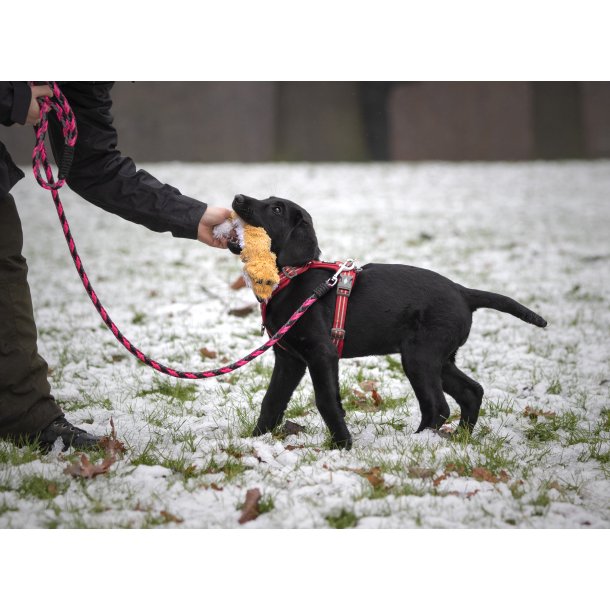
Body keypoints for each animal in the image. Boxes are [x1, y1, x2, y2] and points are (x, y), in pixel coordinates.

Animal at [230, 194, 544, 446]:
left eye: (277, 209)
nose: (238, 197)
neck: (292, 278)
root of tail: (463, 292)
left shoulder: (322, 354)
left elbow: (326, 401)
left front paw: (342, 445)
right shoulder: (290, 359)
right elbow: (272, 401)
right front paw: (255, 440)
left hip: (420, 356)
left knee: (437, 406)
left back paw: (417, 443)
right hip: (440, 358)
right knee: (471, 392)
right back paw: (460, 437)